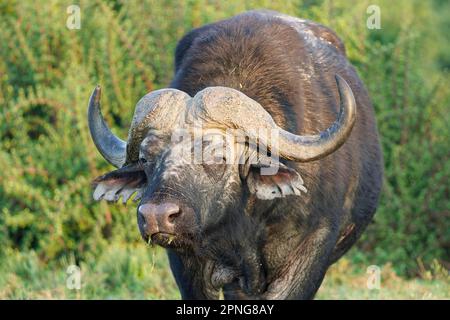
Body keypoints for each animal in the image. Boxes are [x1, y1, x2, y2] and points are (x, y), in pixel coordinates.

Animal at [88, 10, 384, 300]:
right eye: (146, 159)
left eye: (218, 157)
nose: (156, 216)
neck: (243, 225)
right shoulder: (187, 266)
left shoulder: (311, 251)